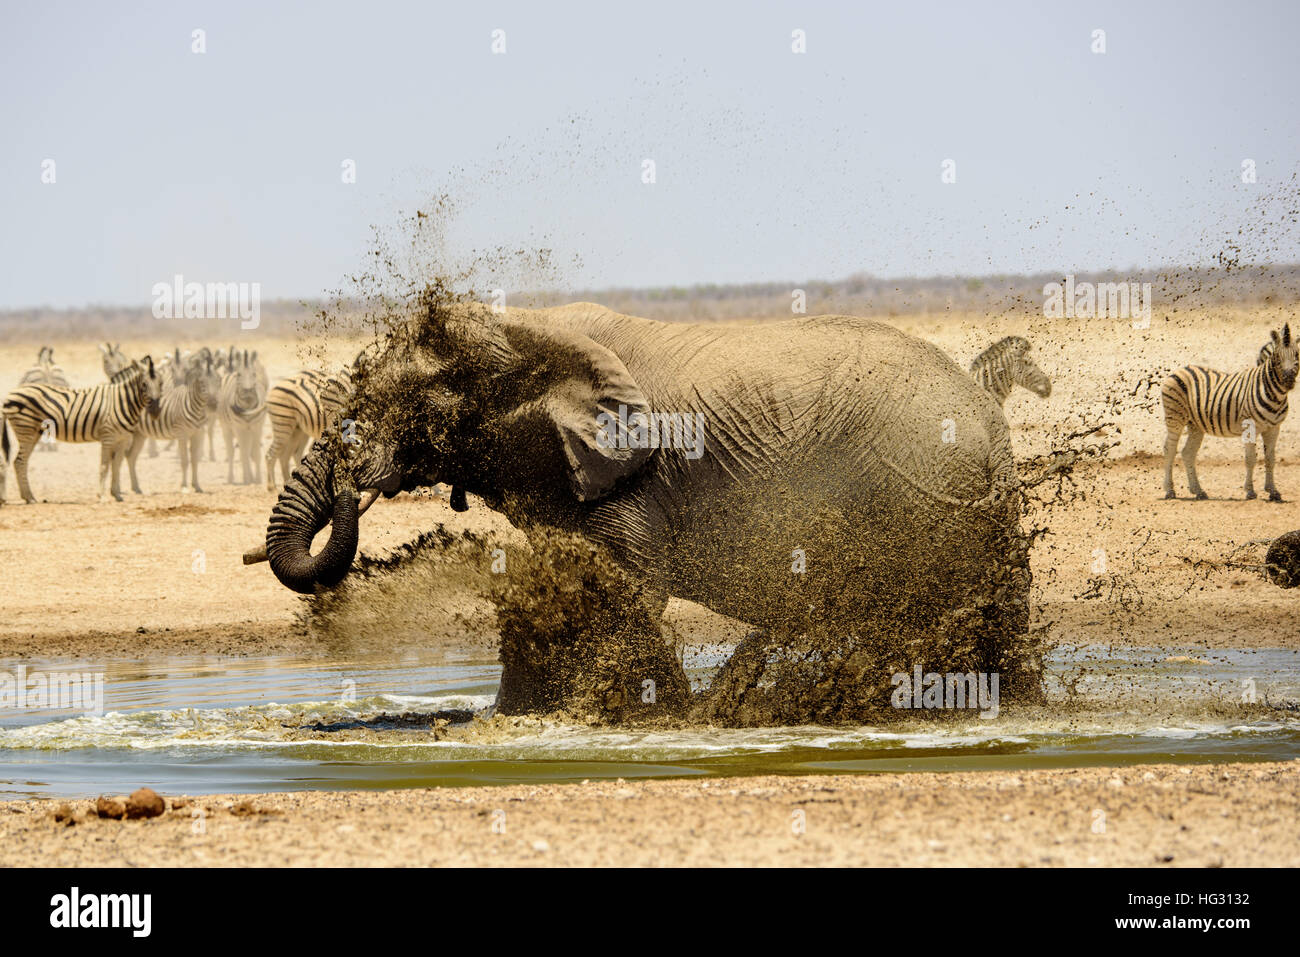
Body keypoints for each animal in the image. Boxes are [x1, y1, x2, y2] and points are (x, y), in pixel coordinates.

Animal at [1, 358, 163, 504]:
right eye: (144, 385)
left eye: (161, 384)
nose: (155, 411)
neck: (121, 400)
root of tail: (10, 394)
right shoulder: (108, 436)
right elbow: (104, 466)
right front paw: (102, 497)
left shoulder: (122, 439)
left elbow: (117, 465)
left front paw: (116, 495)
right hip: (25, 428)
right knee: (20, 461)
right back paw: (28, 498)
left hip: (33, 431)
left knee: (20, 461)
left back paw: (28, 497)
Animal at [125, 351, 219, 494]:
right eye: (203, 383)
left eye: (219, 380)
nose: (213, 405)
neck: (197, 408)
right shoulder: (182, 434)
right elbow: (185, 461)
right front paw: (184, 487)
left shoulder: (198, 434)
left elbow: (195, 460)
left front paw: (197, 486)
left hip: (139, 435)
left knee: (131, 457)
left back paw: (136, 488)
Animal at [218, 348, 269, 486]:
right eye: (239, 375)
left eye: (254, 374)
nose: (247, 391)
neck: (248, 409)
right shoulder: (239, 428)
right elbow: (244, 453)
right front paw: (247, 479)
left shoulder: (257, 428)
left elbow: (255, 453)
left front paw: (258, 479)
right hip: (226, 428)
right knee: (232, 452)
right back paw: (231, 478)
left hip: (249, 431)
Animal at [261, 302, 1034, 691]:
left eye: (408, 403)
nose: (350, 480)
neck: (525, 328)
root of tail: (987, 421)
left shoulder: (635, 482)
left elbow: (627, 597)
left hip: (918, 490)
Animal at [1164, 323, 1294, 501]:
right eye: (1278, 359)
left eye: (1297, 355)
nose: (1289, 381)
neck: (1272, 392)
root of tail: (1180, 369)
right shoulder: (1250, 427)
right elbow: (1251, 459)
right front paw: (1250, 491)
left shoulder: (1273, 428)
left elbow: (1270, 459)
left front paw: (1273, 491)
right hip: (1175, 418)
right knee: (1170, 450)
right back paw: (1170, 491)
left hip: (1195, 425)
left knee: (1187, 453)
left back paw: (1198, 491)